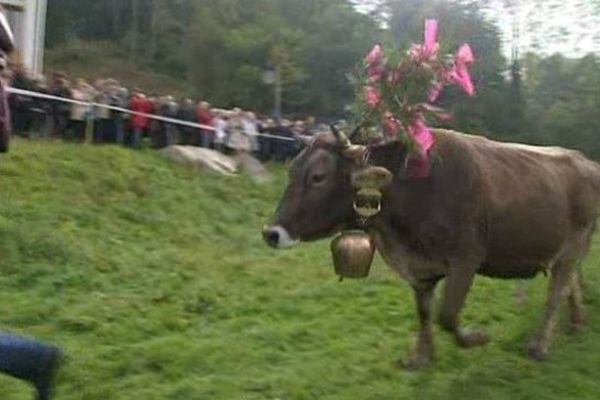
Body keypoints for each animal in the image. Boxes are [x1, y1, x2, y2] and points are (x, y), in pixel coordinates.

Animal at [264, 128, 600, 368]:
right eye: (292, 170)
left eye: (318, 177)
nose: (271, 233)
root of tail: (584, 159)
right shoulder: (419, 268)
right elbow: (425, 313)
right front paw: (422, 357)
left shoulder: (466, 258)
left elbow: (446, 316)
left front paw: (476, 338)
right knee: (570, 284)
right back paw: (576, 322)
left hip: (574, 244)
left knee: (556, 293)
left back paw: (539, 344)